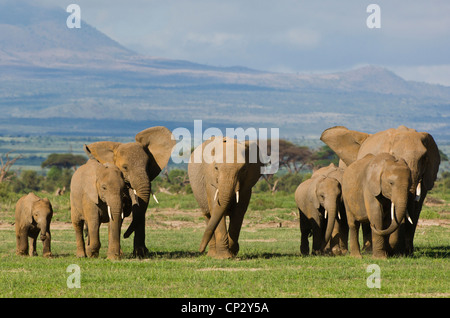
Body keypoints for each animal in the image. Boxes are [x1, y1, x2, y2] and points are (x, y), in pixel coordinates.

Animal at [320, 125, 440, 255]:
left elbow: (416, 208)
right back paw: (363, 250)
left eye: (424, 158)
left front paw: (403, 252)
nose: (404, 251)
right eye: (394, 155)